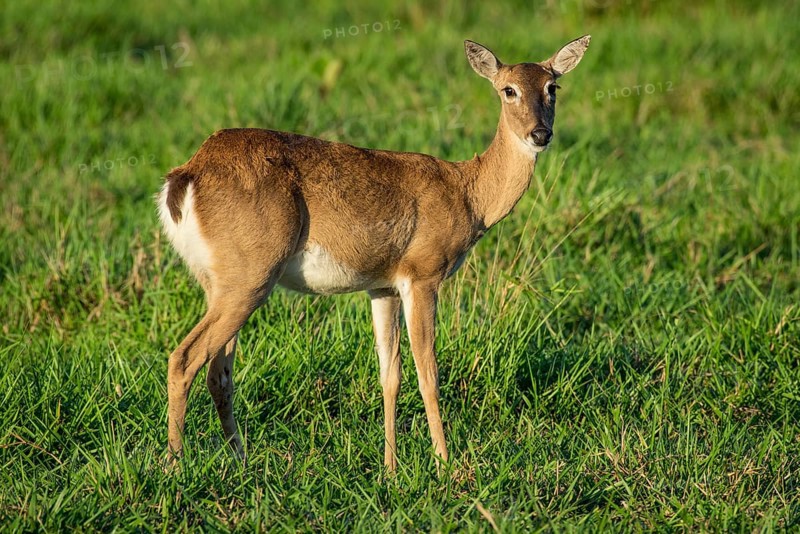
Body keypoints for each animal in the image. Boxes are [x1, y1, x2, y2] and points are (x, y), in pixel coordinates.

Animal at [157, 35, 590, 472]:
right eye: (508, 89)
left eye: (552, 87)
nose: (540, 134)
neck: (469, 195)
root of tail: (184, 177)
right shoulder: (423, 273)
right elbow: (428, 372)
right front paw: (444, 464)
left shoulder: (382, 286)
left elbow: (390, 374)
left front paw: (390, 467)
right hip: (251, 274)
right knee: (184, 358)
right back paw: (175, 466)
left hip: (222, 281)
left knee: (218, 371)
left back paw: (241, 460)